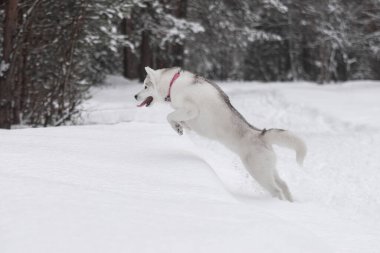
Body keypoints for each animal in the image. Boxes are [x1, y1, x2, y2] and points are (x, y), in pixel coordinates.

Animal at [135, 66, 308, 201]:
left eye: (145, 86)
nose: (135, 96)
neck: (173, 83)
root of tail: (260, 134)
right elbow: (177, 119)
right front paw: (180, 127)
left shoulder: (191, 109)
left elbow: (169, 115)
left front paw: (177, 127)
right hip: (269, 170)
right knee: (284, 184)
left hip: (259, 173)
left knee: (277, 190)